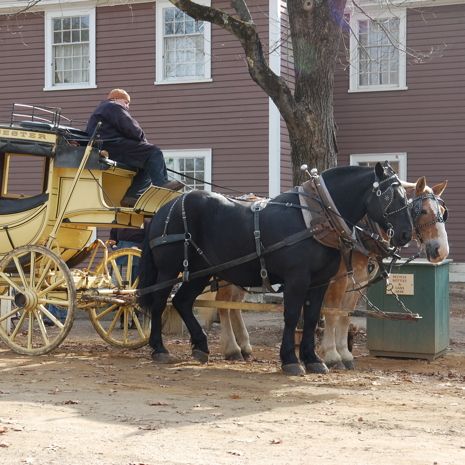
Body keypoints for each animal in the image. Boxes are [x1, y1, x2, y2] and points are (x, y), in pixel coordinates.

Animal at [136, 162, 412, 374]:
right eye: (390, 197)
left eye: (405, 197)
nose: (406, 234)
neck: (314, 220)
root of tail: (163, 209)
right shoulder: (297, 279)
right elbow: (291, 316)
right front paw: (291, 360)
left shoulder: (319, 282)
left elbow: (312, 317)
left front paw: (313, 359)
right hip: (169, 270)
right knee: (160, 302)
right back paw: (160, 348)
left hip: (200, 272)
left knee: (182, 301)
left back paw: (201, 346)